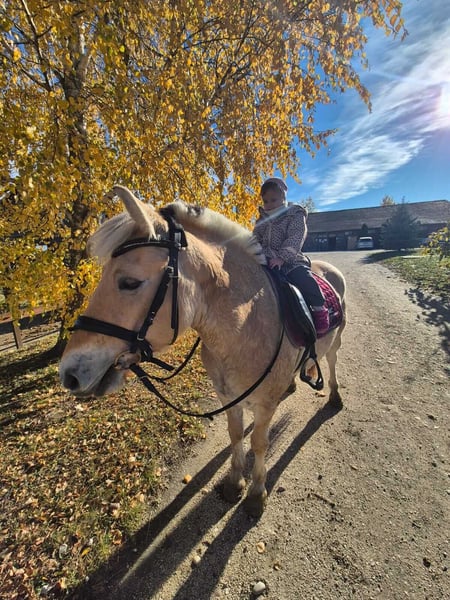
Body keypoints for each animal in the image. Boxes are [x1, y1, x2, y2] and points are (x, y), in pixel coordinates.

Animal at [59, 185, 346, 517]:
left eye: (129, 282)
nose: (68, 373)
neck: (246, 325)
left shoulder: (263, 406)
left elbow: (259, 444)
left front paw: (256, 494)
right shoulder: (228, 397)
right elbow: (236, 435)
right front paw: (235, 482)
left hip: (336, 341)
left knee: (332, 361)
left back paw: (335, 397)